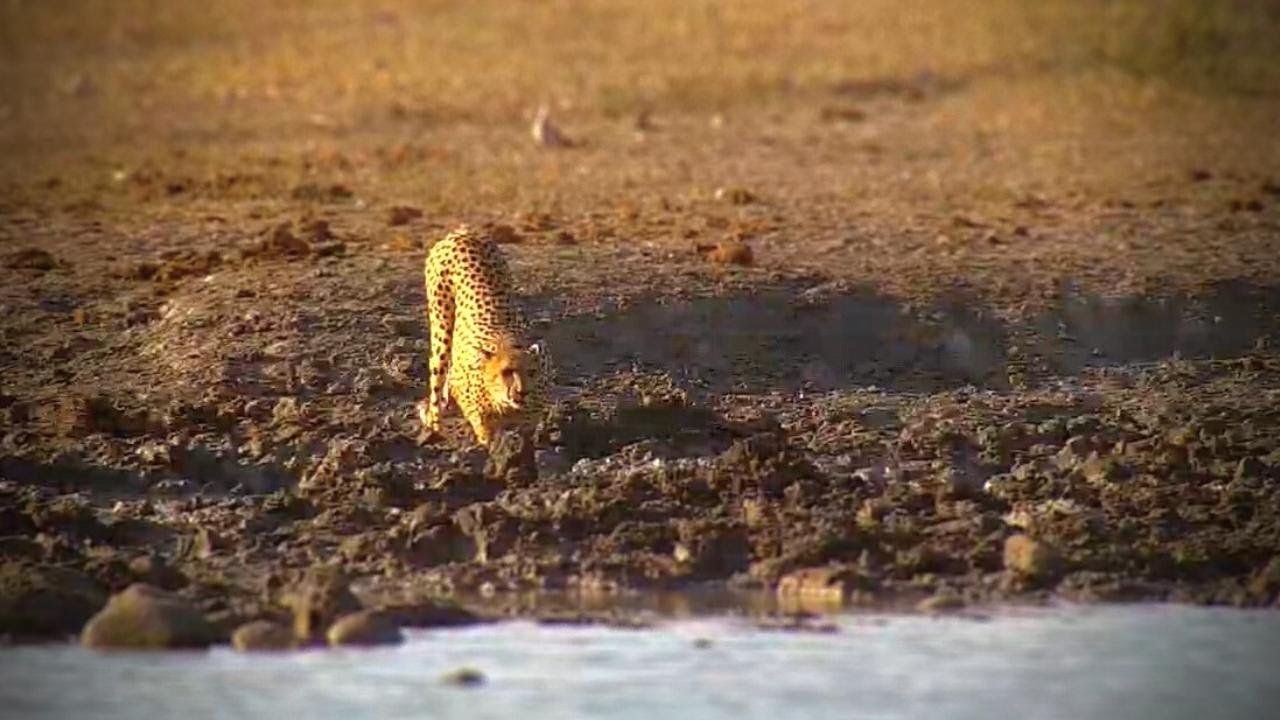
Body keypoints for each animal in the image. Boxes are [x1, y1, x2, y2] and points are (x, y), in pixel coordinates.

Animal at [417, 224, 551, 447]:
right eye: (506, 372)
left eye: (531, 372)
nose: (522, 392)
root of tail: (463, 232)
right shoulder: (483, 424)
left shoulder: (528, 425)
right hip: (441, 331)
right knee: (437, 381)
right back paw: (435, 429)